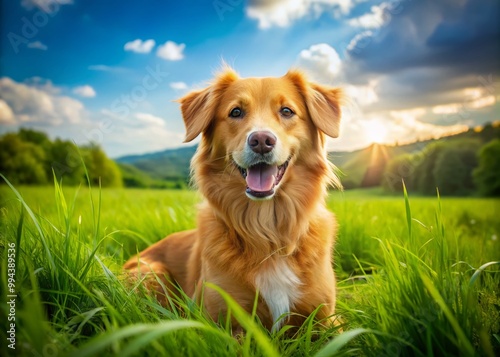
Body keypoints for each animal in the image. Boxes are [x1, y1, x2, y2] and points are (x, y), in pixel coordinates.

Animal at [125, 66, 344, 330]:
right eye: (236, 112)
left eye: (287, 111)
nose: (262, 141)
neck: (267, 231)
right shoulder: (219, 319)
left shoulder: (327, 319)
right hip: (152, 273)